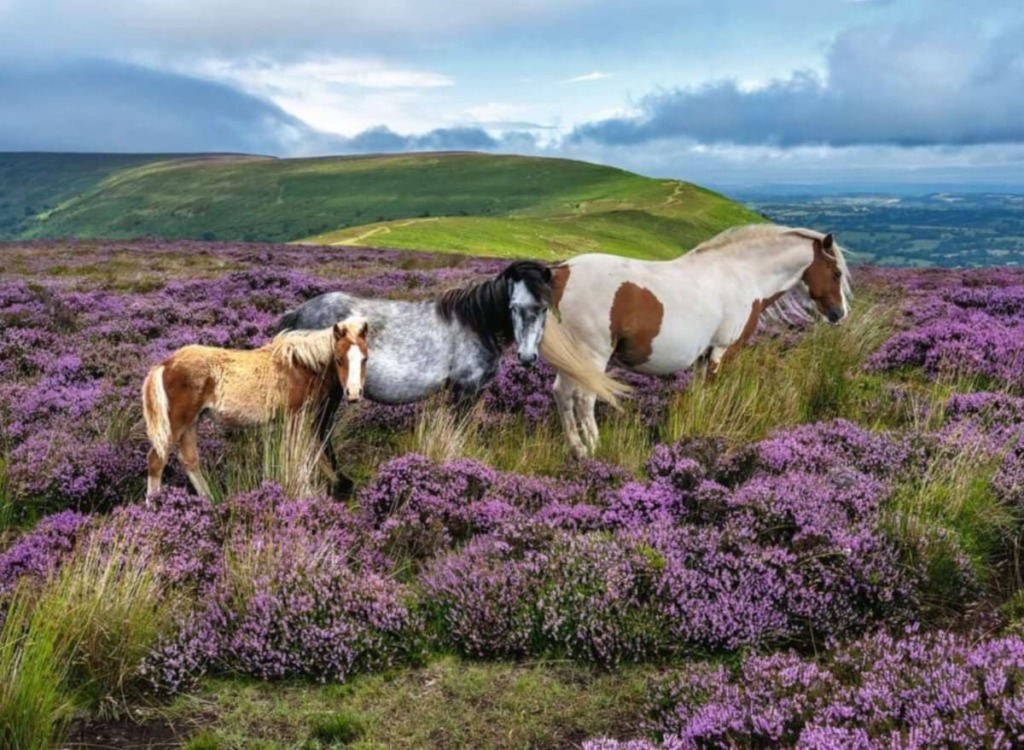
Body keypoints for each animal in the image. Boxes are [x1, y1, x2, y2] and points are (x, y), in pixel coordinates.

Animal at [142, 317, 370, 502]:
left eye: (365, 358)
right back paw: (153, 505)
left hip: (192, 422)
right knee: (156, 460)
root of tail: (165, 364)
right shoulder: (295, 417)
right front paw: (305, 494)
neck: (301, 366)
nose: (354, 393)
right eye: (339, 359)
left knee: (190, 460)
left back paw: (209, 502)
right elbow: (299, 455)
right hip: (177, 422)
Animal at [276, 260, 627, 482]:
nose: (528, 357)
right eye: (513, 307)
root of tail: (299, 313)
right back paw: (340, 483)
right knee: (318, 431)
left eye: (543, 308)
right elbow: (457, 433)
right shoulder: (465, 389)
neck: (476, 323)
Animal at [547, 224, 852, 457]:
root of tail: (563, 271)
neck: (742, 274)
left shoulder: (704, 356)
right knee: (584, 399)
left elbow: (699, 394)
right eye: (836, 273)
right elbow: (713, 391)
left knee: (562, 393)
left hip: (573, 359)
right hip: (593, 356)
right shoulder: (723, 350)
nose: (839, 314)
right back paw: (594, 448)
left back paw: (577, 450)